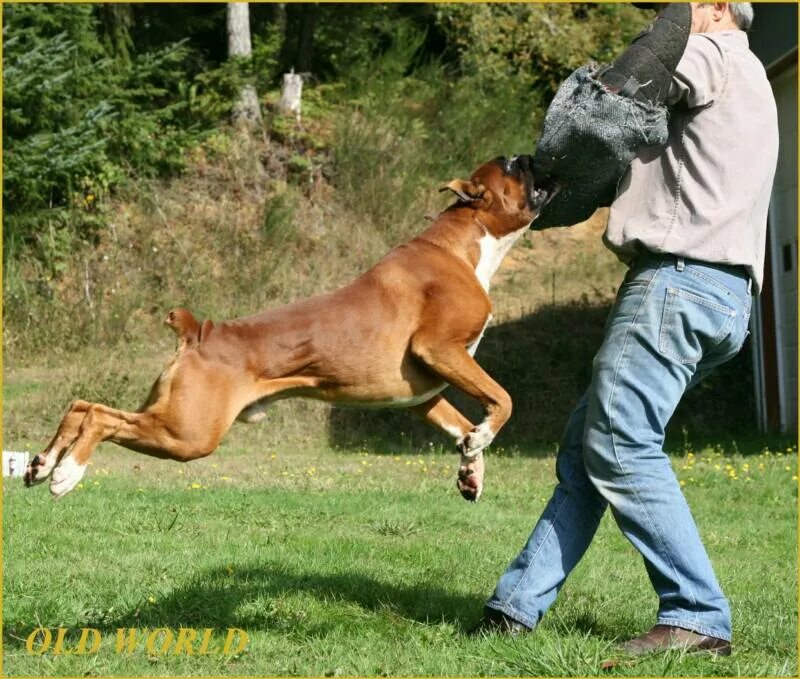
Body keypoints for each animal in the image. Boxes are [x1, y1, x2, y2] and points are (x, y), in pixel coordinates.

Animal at [23, 157, 552, 502]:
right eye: (510, 168)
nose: (529, 154)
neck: (464, 242)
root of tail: (199, 331)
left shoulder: (421, 393)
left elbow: (462, 424)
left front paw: (471, 467)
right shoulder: (440, 350)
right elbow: (503, 399)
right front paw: (482, 441)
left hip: (172, 418)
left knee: (82, 405)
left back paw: (43, 464)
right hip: (186, 433)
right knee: (100, 417)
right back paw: (67, 474)